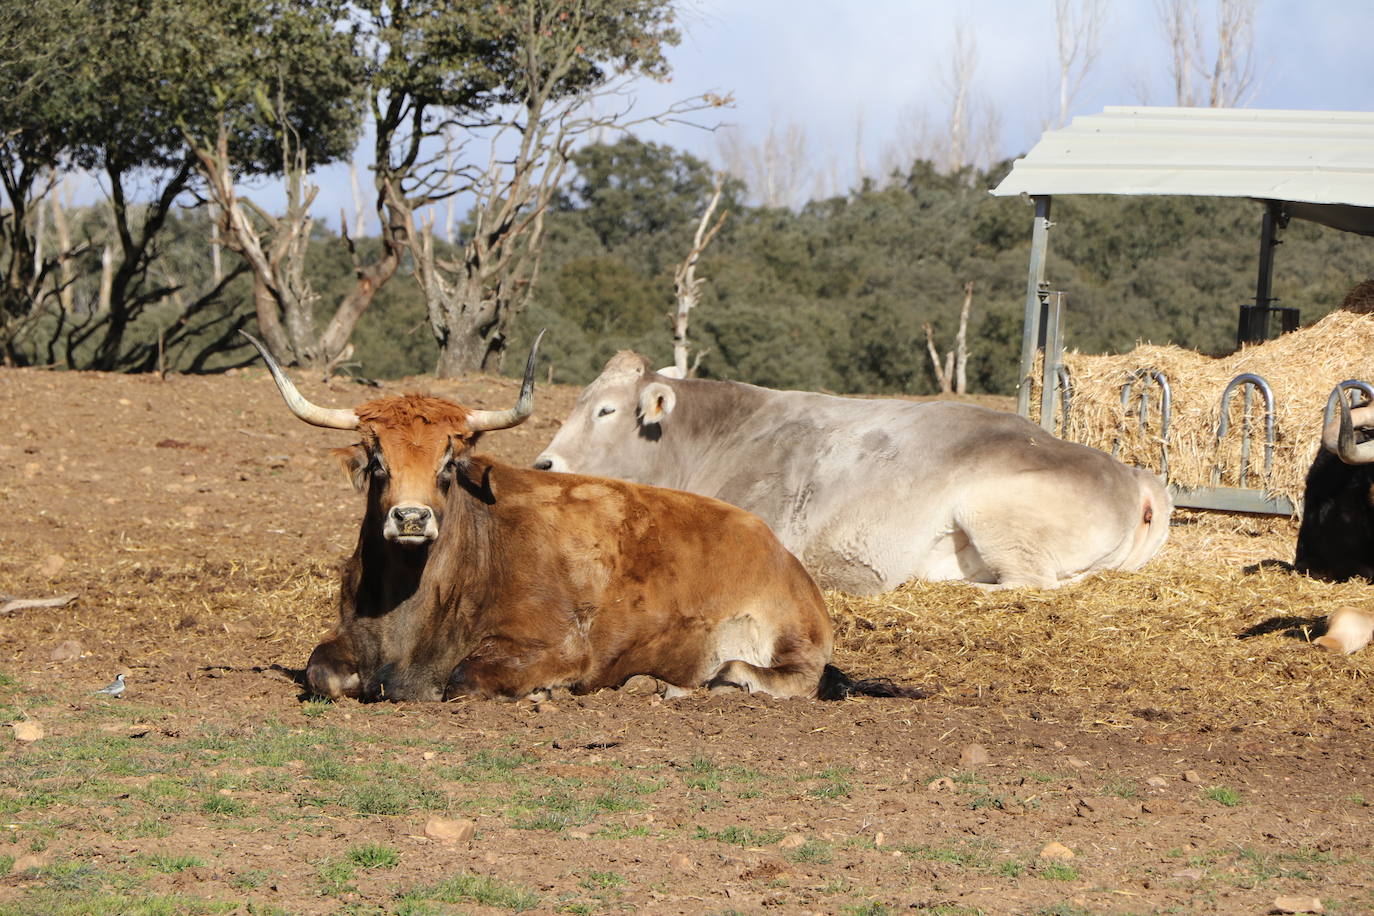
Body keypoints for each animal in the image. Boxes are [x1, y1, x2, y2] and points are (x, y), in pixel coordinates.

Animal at [244, 333, 923, 708]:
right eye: (378, 460)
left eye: (448, 462)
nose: (411, 519)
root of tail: (778, 550)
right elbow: (323, 671)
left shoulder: (553, 645)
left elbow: (467, 678)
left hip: (786, 638)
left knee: (762, 675)